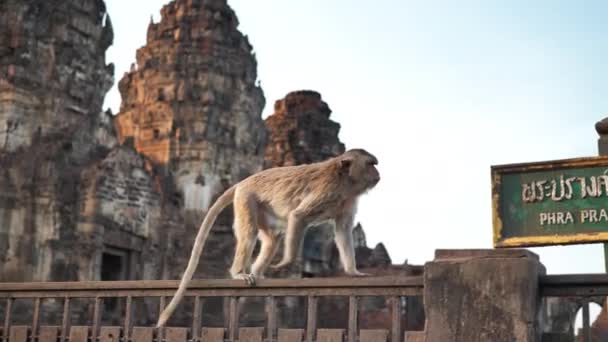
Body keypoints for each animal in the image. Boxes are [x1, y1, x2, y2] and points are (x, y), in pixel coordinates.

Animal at [156, 148, 380, 328]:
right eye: (371, 164)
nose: (378, 173)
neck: (345, 179)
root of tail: (243, 181)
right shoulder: (328, 191)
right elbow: (298, 216)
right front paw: (286, 262)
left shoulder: (348, 199)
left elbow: (343, 231)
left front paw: (353, 272)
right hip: (247, 199)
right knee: (249, 233)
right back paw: (239, 273)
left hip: (263, 209)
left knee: (272, 238)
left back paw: (257, 272)